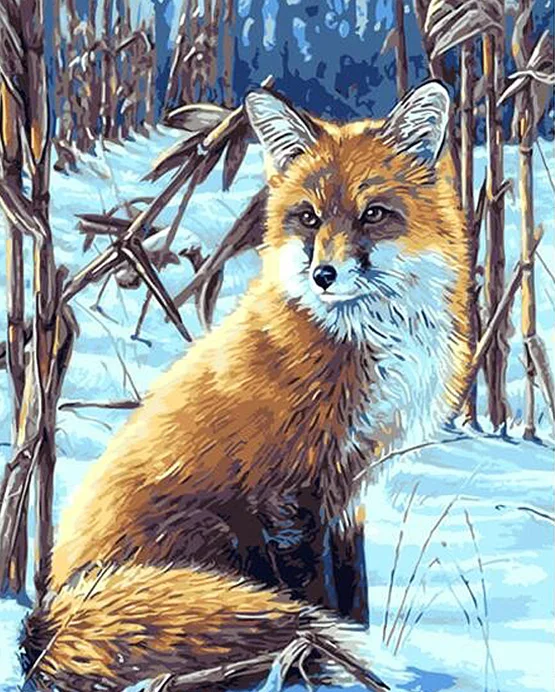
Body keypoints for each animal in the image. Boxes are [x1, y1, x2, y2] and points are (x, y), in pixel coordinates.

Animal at [22, 81, 472, 691]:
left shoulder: (350, 491)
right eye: (307, 218)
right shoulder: (288, 491)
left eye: (374, 215)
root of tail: (46, 620)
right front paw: (329, 665)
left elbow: (354, 597)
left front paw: (355, 660)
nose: (324, 275)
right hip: (214, 535)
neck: (365, 338)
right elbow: (317, 599)